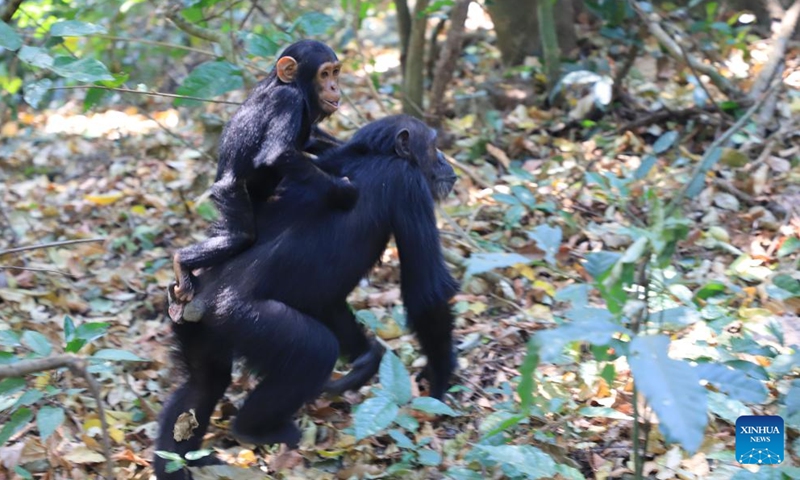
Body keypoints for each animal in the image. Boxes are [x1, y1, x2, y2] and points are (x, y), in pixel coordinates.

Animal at [155, 116, 456, 480]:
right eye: (434, 146)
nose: (446, 161)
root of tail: (195, 300)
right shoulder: (409, 186)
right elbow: (425, 289)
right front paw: (440, 383)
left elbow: (328, 301)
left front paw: (366, 361)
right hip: (245, 320)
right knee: (314, 351)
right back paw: (254, 429)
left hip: (195, 328)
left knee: (202, 385)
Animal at [172, 41, 356, 312]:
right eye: (324, 74)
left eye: (335, 72)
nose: (334, 86)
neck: (291, 85)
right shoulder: (287, 101)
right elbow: (278, 153)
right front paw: (343, 191)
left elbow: (309, 138)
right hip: (229, 192)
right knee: (240, 236)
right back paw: (182, 262)